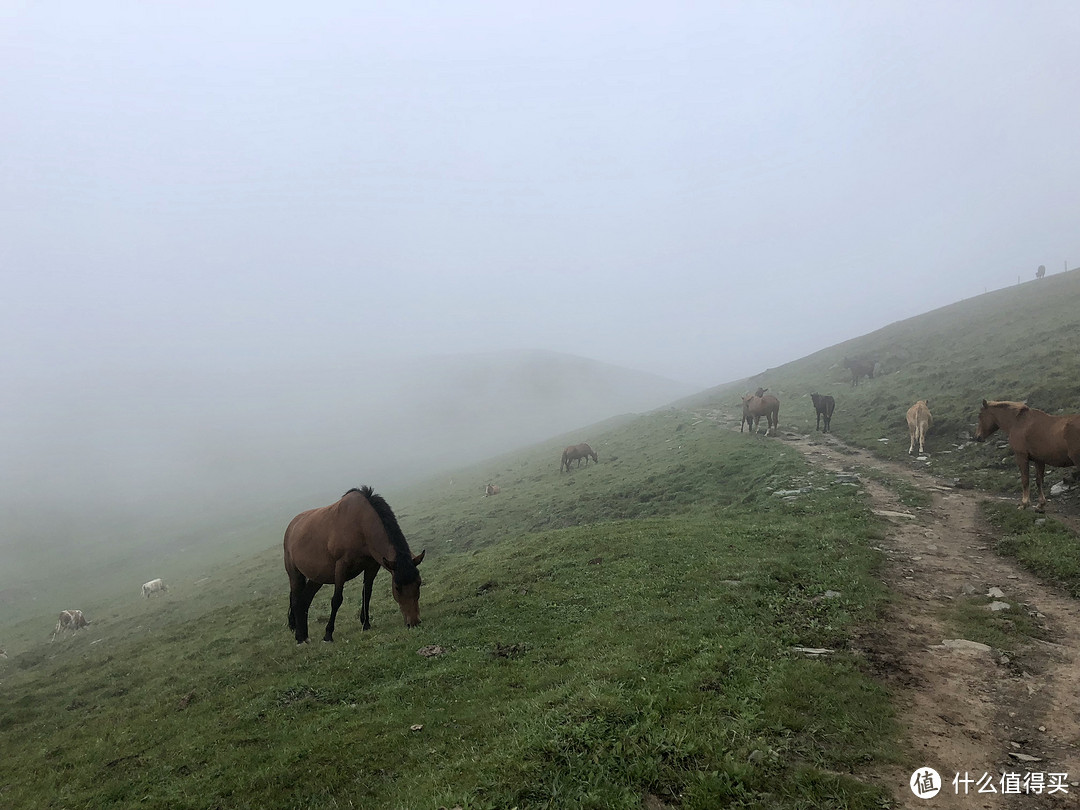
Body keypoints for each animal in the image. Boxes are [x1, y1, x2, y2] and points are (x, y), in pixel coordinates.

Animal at [282, 486, 425, 643]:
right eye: (397, 588)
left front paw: (366, 624)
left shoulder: (372, 566)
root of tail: (291, 527)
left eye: (418, 583)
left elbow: (367, 593)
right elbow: (337, 600)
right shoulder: (341, 566)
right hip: (294, 574)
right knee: (296, 602)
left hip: (317, 578)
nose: (414, 622)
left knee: (304, 601)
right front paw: (328, 634)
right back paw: (300, 637)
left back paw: (305, 636)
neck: (360, 525)